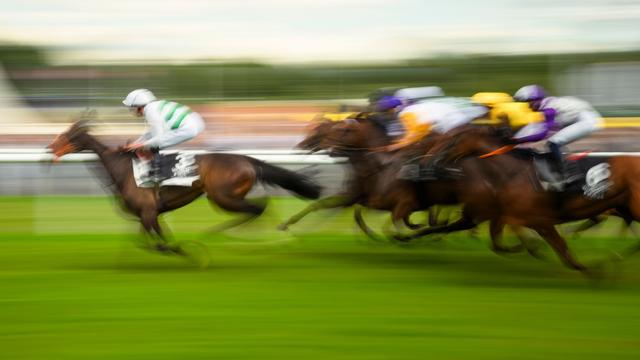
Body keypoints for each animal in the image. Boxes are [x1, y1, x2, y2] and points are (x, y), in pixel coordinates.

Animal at [47, 119, 322, 252]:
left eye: (68, 135)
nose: (49, 148)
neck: (122, 168)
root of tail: (247, 159)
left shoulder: (148, 212)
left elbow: (160, 242)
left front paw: (184, 250)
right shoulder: (148, 214)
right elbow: (149, 240)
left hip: (222, 197)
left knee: (257, 207)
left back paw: (225, 236)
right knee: (261, 207)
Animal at [404, 125, 640, 272]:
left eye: (451, 140)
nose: (425, 163)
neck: (510, 172)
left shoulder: (538, 220)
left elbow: (563, 251)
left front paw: (593, 270)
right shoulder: (504, 215)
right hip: (625, 208)